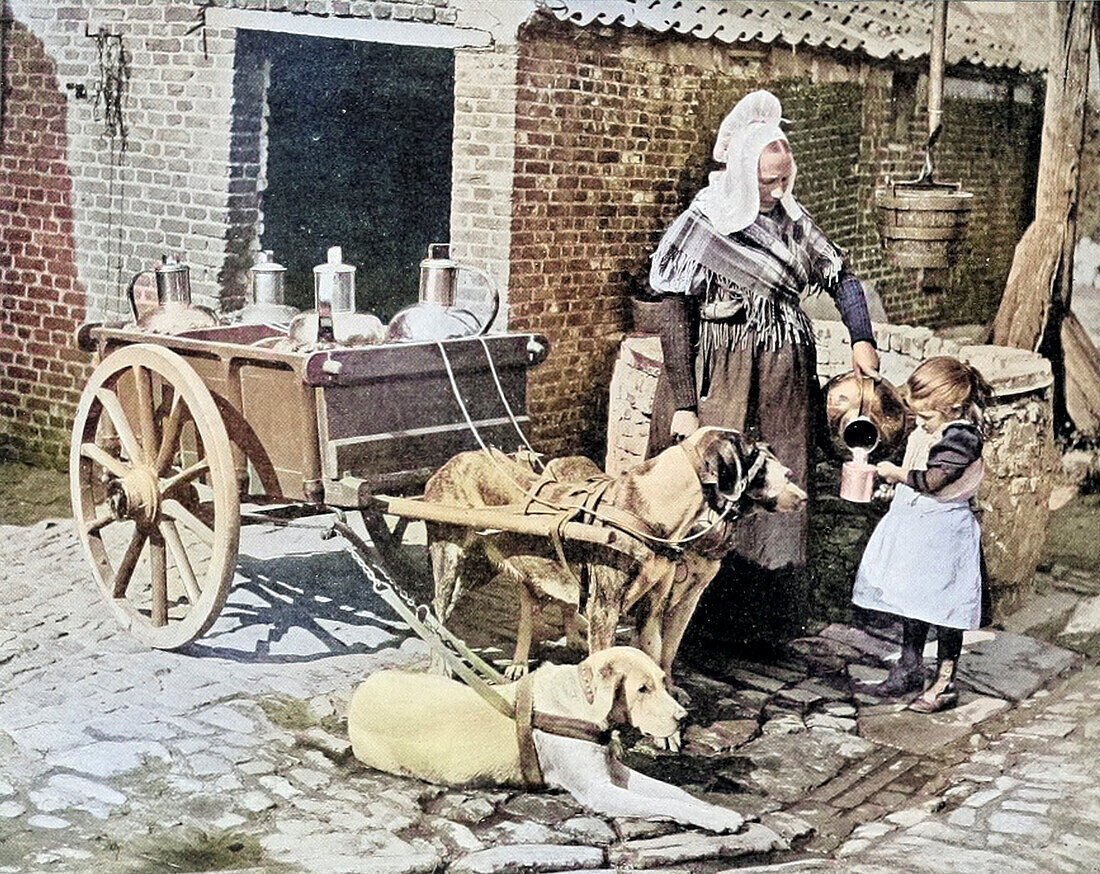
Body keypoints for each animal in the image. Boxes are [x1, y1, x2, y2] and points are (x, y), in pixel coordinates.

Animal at [349, 646, 748, 831]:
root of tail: (362, 690)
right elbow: (664, 804)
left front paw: (716, 809)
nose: (684, 718)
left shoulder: (613, 770)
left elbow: (673, 792)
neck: (581, 703)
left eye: (664, 683)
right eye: (642, 689)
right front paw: (716, 819)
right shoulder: (599, 791)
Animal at [424, 426, 805, 686]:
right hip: (450, 562)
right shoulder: (604, 608)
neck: (654, 511)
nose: (800, 493)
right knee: (437, 614)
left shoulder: (654, 607)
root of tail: (449, 463)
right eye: (754, 456)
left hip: (483, 567)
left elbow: (656, 655)